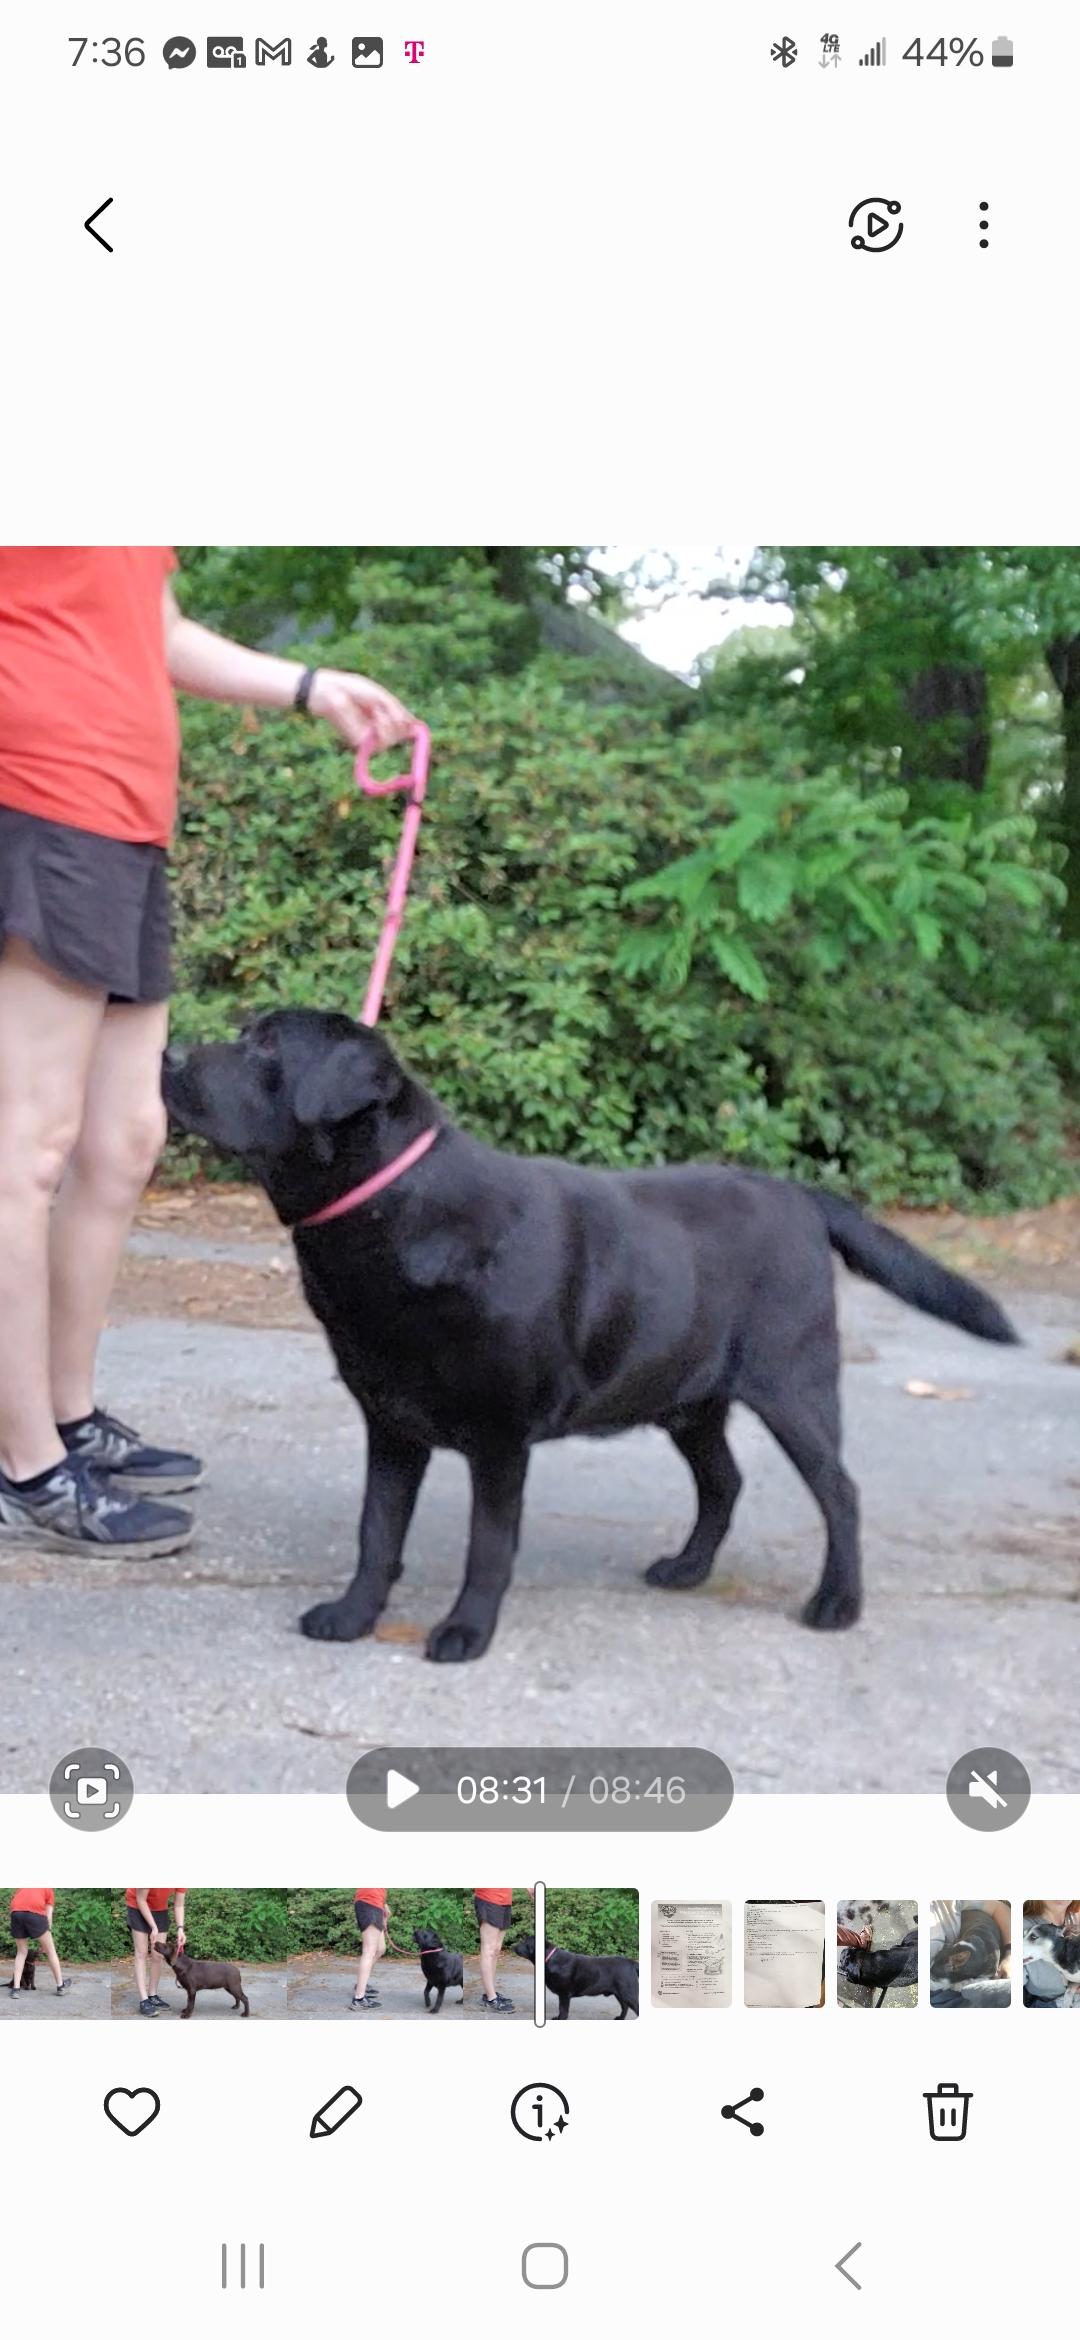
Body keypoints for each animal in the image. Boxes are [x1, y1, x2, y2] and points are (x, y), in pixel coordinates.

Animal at [162, 1009, 1018, 1663]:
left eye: (267, 1048)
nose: (167, 1055)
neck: (396, 1212)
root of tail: (802, 1195)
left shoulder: (499, 1436)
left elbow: (488, 1547)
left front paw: (465, 1632)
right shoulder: (391, 1426)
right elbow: (377, 1532)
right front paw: (352, 1616)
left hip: (795, 1387)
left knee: (840, 1492)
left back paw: (837, 1602)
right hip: (688, 1399)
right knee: (724, 1482)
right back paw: (688, 1568)